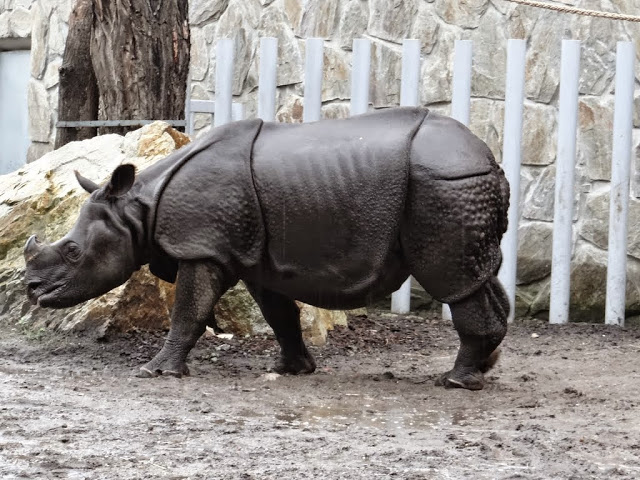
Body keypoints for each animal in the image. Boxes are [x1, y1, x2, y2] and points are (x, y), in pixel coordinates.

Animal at [24, 107, 510, 390]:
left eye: (72, 252)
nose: (32, 289)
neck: (139, 207)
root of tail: (488, 156)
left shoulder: (201, 247)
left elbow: (188, 309)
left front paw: (154, 372)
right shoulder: (253, 256)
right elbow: (279, 314)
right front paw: (292, 369)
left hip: (445, 184)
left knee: (453, 279)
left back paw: (456, 381)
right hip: (455, 184)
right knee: (479, 274)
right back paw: (484, 367)